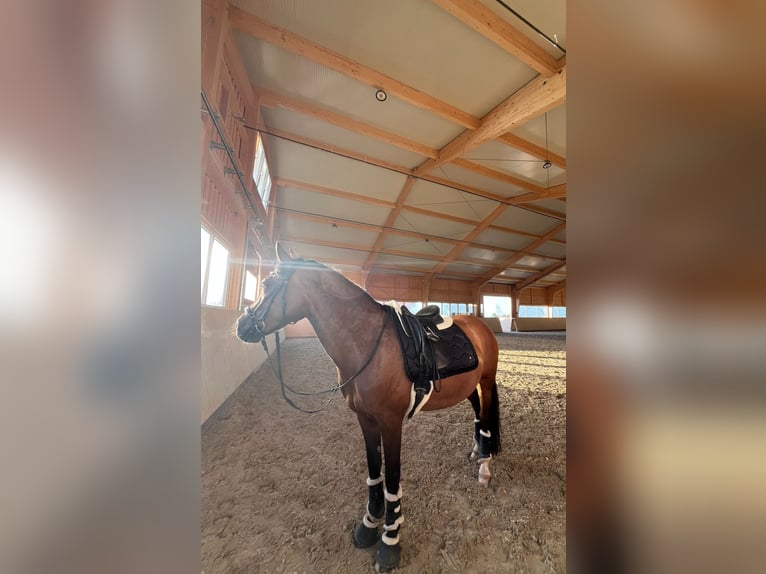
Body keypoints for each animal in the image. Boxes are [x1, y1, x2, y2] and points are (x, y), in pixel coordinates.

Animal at [235, 242, 501, 572]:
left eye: (267, 284)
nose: (241, 325)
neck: (366, 345)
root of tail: (479, 324)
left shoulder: (391, 422)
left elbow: (392, 480)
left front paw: (390, 541)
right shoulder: (365, 419)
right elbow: (374, 473)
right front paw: (368, 525)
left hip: (486, 382)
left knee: (486, 418)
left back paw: (485, 467)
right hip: (468, 387)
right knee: (478, 414)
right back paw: (477, 451)